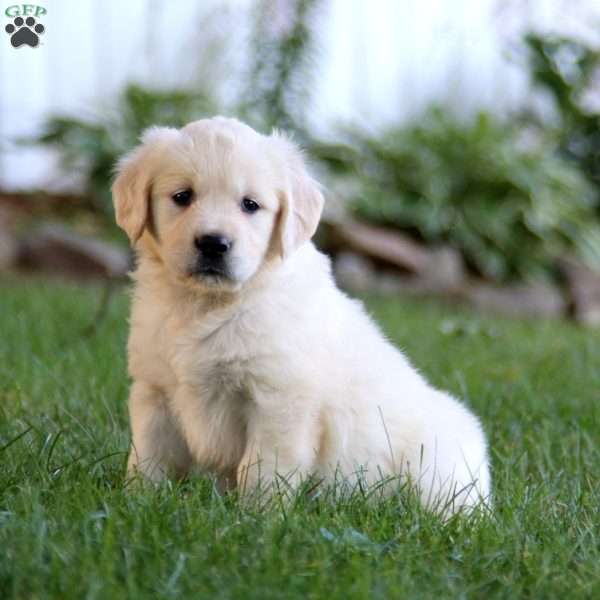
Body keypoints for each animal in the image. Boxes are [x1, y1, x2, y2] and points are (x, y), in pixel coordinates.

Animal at [112, 118, 492, 516]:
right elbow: (151, 457)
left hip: (436, 468)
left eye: (250, 205)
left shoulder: (279, 400)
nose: (214, 243)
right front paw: (138, 503)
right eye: (183, 196)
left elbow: (263, 468)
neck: (210, 304)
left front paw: (256, 518)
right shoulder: (155, 391)